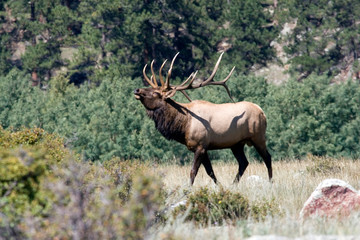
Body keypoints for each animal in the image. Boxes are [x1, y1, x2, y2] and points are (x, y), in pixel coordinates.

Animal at [134, 51, 272, 185]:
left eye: (156, 93)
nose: (137, 90)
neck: (184, 126)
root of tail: (262, 112)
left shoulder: (200, 145)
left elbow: (193, 171)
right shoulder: (203, 147)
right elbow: (210, 171)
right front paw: (220, 187)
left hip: (258, 137)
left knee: (267, 158)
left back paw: (270, 182)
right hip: (237, 144)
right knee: (244, 162)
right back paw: (234, 184)